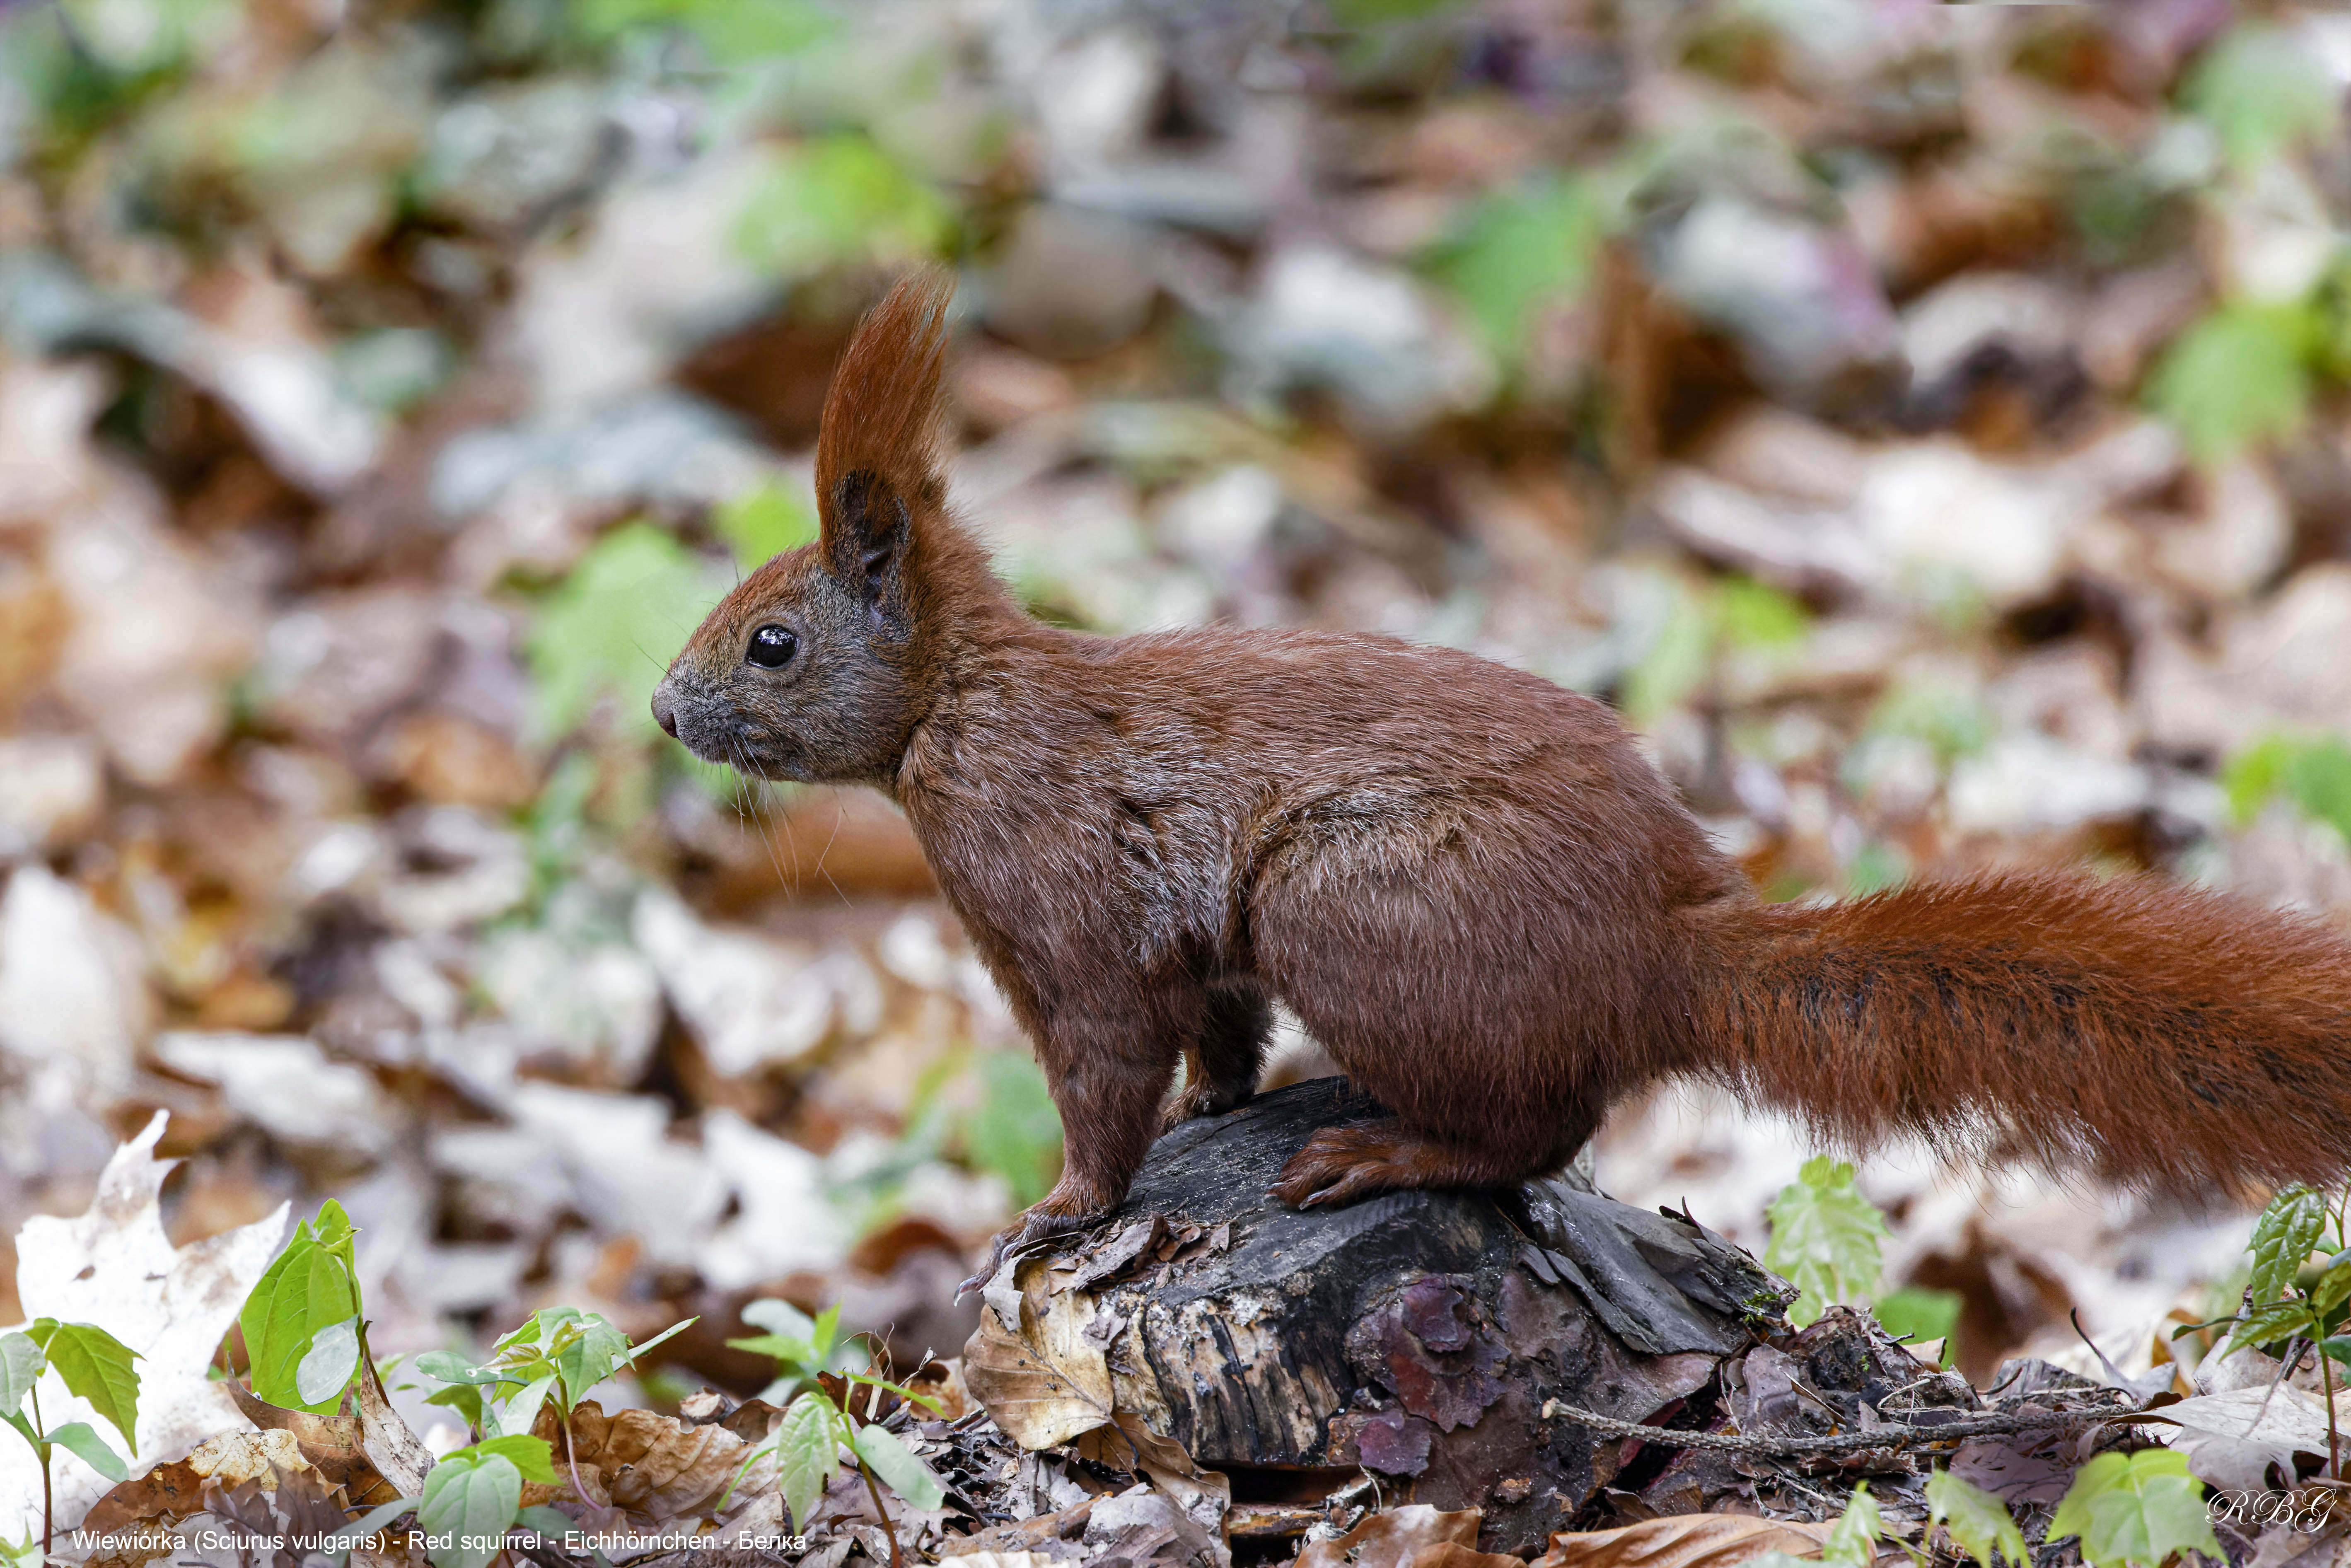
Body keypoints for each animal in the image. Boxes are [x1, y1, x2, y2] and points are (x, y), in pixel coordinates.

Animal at [653, 272, 2351, 1294]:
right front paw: (1216, 1107)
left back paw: (1384, 1151)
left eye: (772, 642)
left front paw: (1060, 1211)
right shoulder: (1177, 938)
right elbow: (1216, 1031)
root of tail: (1655, 944)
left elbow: (1103, 1069)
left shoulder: (1058, 904)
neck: (963, 706)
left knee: (1538, 1127)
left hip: (1353, 898)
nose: (665, 708)